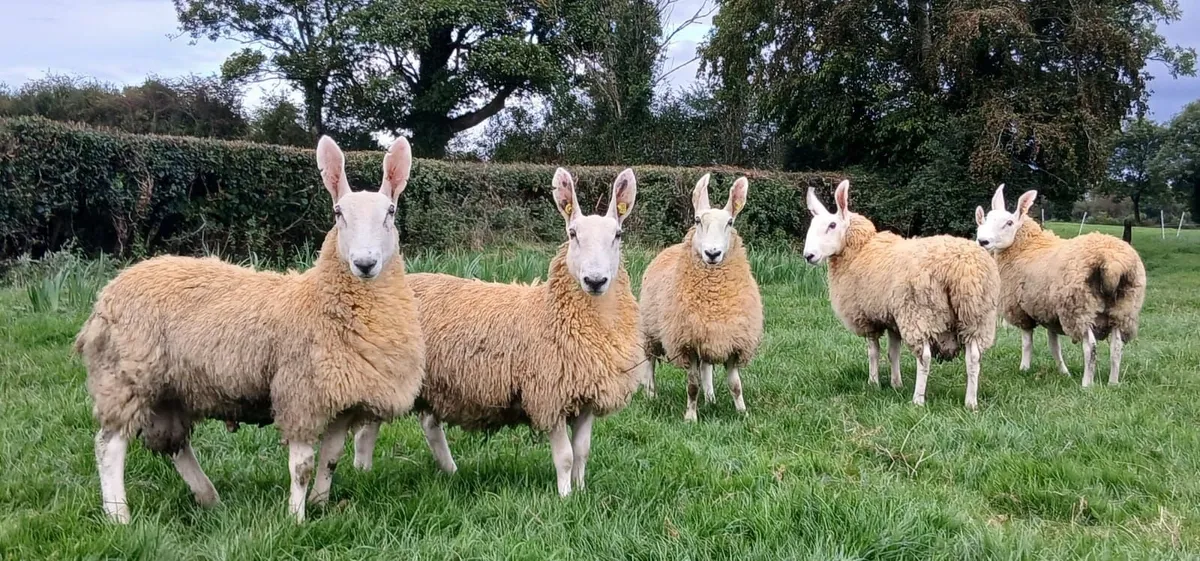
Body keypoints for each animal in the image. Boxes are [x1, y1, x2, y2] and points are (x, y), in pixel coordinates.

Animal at [74, 136, 425, 523]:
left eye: (390, 212)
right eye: (338, 213)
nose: (364, 263)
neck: (318, 299)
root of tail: (109, 291)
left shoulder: (341, 397)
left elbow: (331, 458)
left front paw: (321, 503)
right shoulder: (300, 392)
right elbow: (302, 466)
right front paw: (296, 518)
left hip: (169, 388)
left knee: (175, 445)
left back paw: (209, 497)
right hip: (126, 377)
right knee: (109, 446)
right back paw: (119, 515)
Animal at [350, 168, 644, 497]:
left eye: (617, 235)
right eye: (573, 234)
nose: (595, 280)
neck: (551, 312)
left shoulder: (586, 395)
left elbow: (582, 451)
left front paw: (581, 491)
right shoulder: (547, 395)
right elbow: (566, 457)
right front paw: (565, 496)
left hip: (434, 382)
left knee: (430, 426)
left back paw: (451, 472)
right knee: (365, 433)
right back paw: (362, 477)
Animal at [638, 174, 763, 421]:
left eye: (730, 222)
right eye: (697, 220)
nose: (712, 253)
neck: (714, 299)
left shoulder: (731, 341)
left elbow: (735, 385)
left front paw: (742, 413)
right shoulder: (687, 344)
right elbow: (692, 385)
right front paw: (690, 417)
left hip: (707, 335)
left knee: (707, 369)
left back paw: (711, 398)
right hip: (650, 331)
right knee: (650, 362)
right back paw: (650, 394)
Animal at [803, 180, 1000, 410]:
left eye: (832, 225)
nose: (808, 256)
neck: (860, 250)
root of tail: (961, 268)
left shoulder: (868, 318)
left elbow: (874, 352)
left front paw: (873, 383)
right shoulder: (891, 318)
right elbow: (893, 352)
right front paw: (896, 384)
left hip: (919, 312)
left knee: (924, 357)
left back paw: (918, 399)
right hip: (975, 315)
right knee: (974, 358)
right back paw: (971, 402)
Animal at [974, 185, 1146, 387]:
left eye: (1009, 222)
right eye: (986, 219)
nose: (982, 241)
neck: (1026, 247)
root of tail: (1113, 261)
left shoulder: (1021, 311)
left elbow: (1027, 342)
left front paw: (1024, 368)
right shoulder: (1049, 312)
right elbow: (1054, 345)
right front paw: (1064, 372)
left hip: (1078, 308)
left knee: (1090, 347)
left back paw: (1087, 384)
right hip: (1123, 309)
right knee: (1117, 347)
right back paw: (1113, 383)